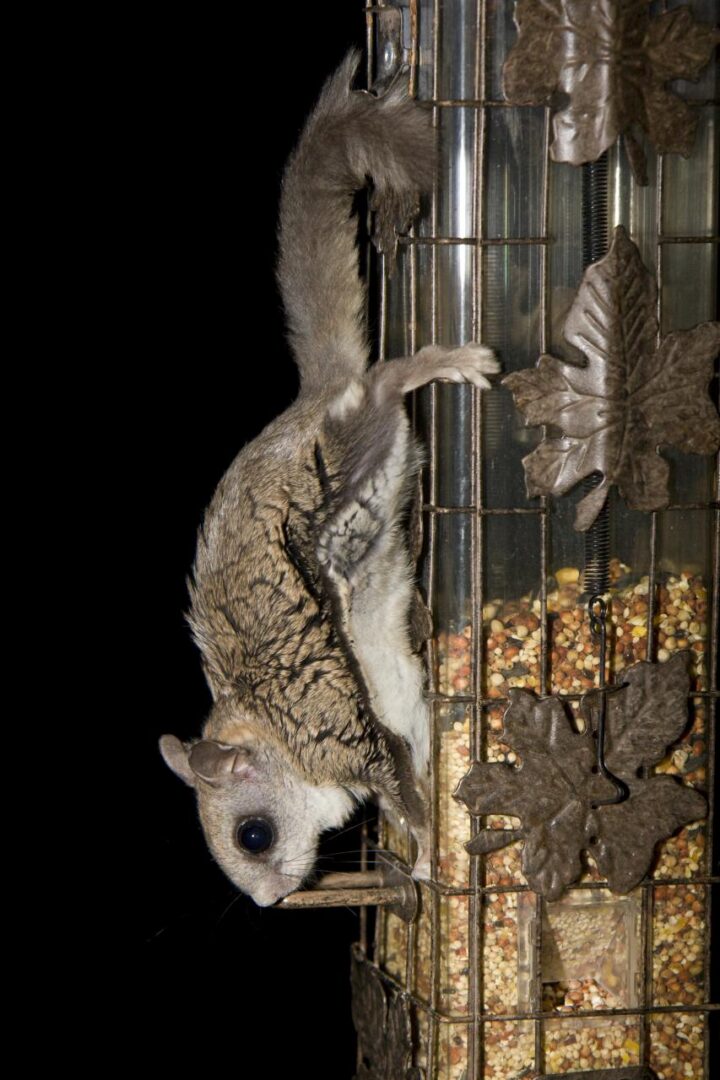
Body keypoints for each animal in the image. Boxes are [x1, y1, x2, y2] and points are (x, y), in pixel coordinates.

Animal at [159, 51, 498, 907]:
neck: (277, 738)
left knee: (381, 383)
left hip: (345, 453)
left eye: (253, 835)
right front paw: (421, 859)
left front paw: (425, 848)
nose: (270, 902)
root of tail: (314, 397)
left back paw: (448, 362)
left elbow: (401, 790)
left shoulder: (339, 734)